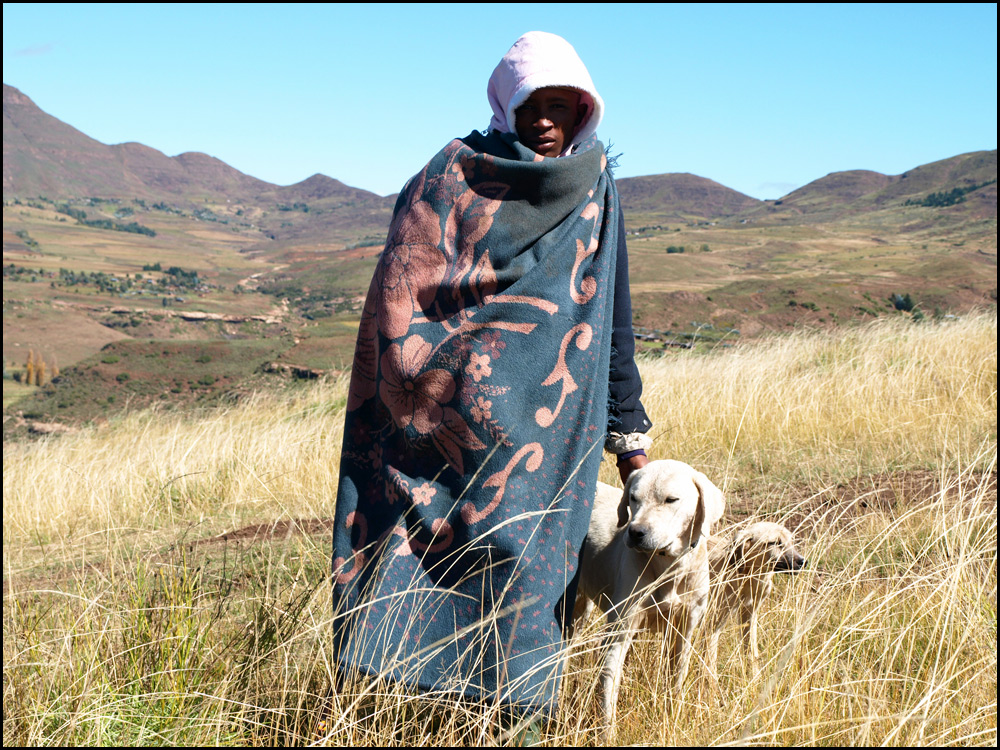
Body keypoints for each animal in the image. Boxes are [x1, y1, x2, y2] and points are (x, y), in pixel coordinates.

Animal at [572, 462, 728, 732]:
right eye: (633, 498)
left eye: (671, 499)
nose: (635, 532)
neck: (669, 567)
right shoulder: (619, 633)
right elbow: (608, 694)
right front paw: (607, 734)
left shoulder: (684, 631)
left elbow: (676, 681)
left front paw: (673, 719)